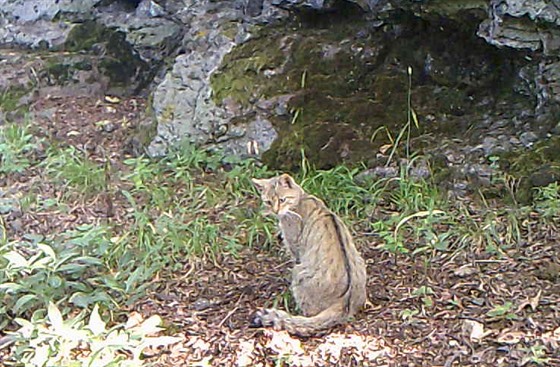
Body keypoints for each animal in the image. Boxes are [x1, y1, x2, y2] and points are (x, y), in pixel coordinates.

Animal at [250, 174, 368, 338]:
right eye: (268, 202)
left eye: (282, 200)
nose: (276, 211)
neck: (302, 198)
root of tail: (345, 302)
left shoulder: (295, 247)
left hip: (298, 273)